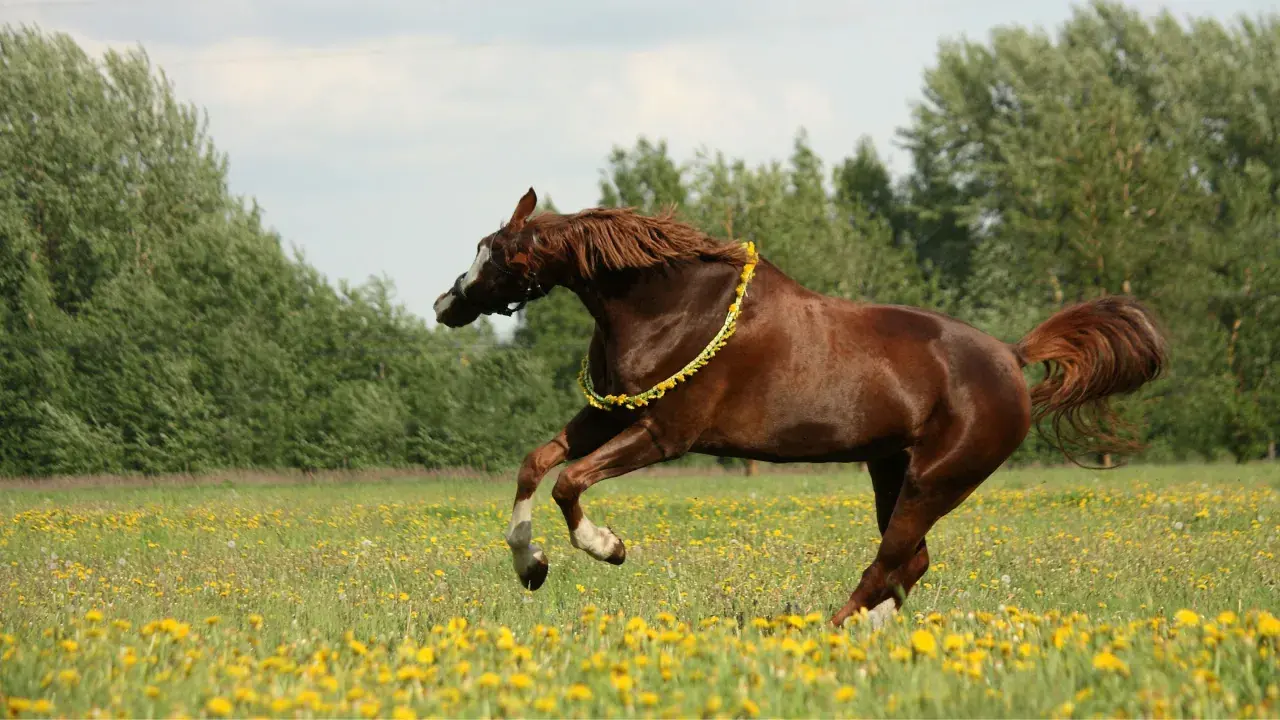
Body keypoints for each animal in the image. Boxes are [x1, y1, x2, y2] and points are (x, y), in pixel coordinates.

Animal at [432, 187, 1168, 627]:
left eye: (500, 256)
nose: (446, 304)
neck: (674, 307)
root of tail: (1012, 358)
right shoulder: (609, 415)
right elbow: (536, 464)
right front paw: (530, 566)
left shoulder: (664, 432)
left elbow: (570, 482)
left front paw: (606, 547)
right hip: (891, 470)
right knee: (908, 565)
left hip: (937, 479)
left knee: (889, 563)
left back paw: (828, 633)